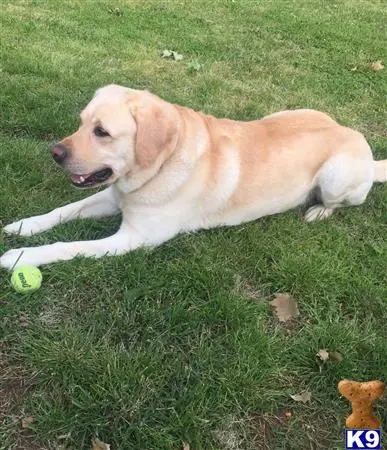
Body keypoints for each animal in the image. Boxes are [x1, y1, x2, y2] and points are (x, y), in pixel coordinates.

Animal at [1, 83, 386, 268]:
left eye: (102, 132)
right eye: (81, 123)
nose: (55, 153)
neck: (159, 166)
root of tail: (349, 130)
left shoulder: (133, 239)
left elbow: (68, 246)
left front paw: (20, 257)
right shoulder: (112, 195)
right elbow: (62, 211)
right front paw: (24, 226)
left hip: (336, 177)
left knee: (340, 202)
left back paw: (318, 210)